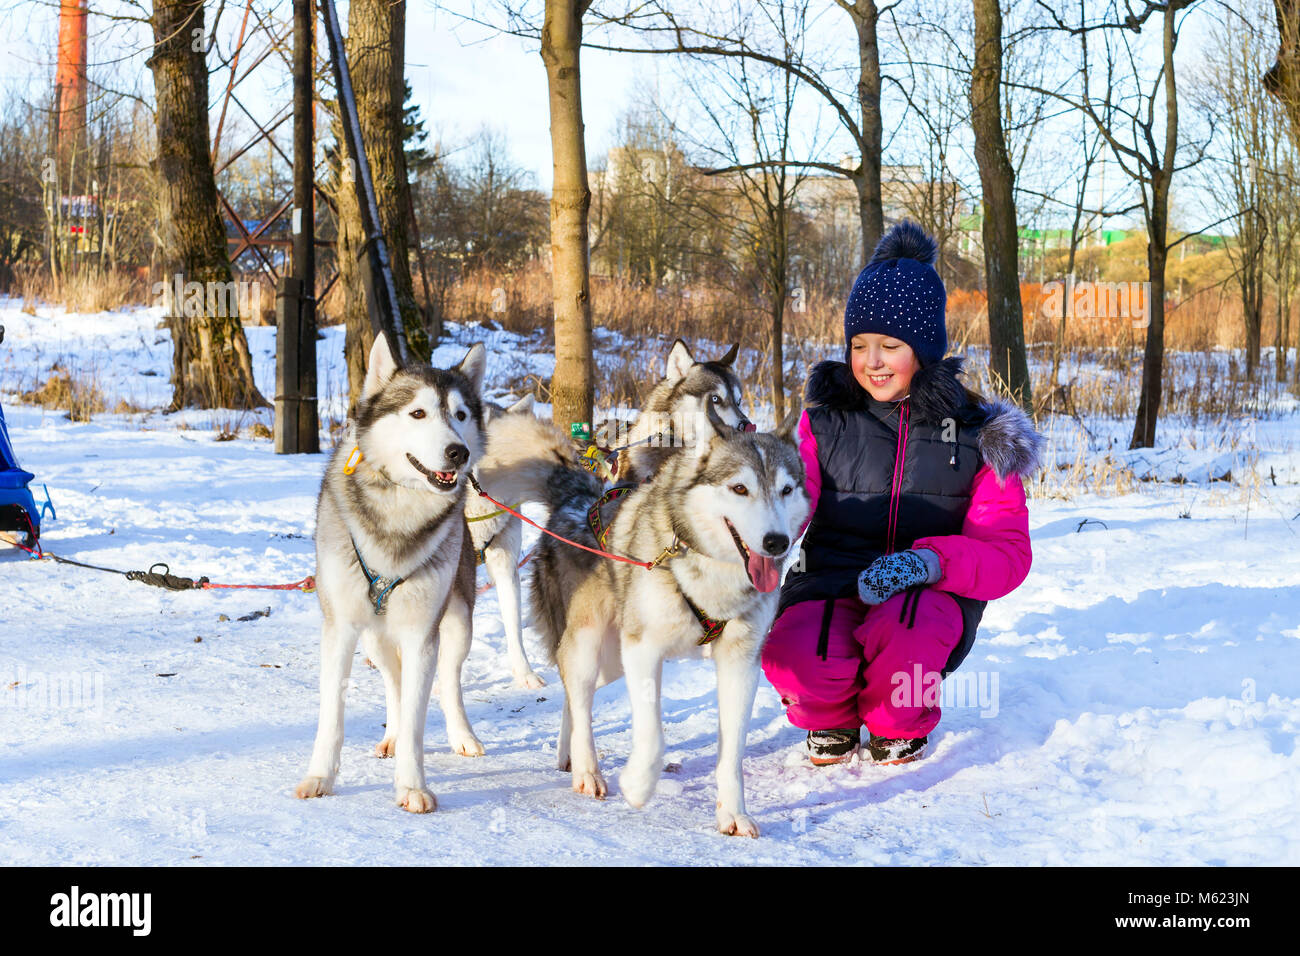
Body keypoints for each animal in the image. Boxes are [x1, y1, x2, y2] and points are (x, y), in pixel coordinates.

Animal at [295, 335, 488, 816]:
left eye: (460, 415)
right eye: (417, 413)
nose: (458, 452)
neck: (400, 512)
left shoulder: (422, 633)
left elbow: (421, 716)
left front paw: (412, 785)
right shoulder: (341, 628)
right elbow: (333, 714)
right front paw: (320, 777)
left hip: (457, 622)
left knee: (447, 682)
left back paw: (461, 735)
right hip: (374, 639)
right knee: (395, 684)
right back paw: (392, 735)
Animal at [473, 408, 806, 832]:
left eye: (786, 490)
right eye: (740, 489)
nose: (776, 542)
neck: (710, 575)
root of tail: (576, 498)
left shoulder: (741, 662)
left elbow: (732, 751)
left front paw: (733, 812)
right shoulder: (643, 650)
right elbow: (653, 736)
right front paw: (636, 786)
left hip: (612, 661)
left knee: (574, 694)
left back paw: (569, 754)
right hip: (590, 642)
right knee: (579, 693)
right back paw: (587, 770)